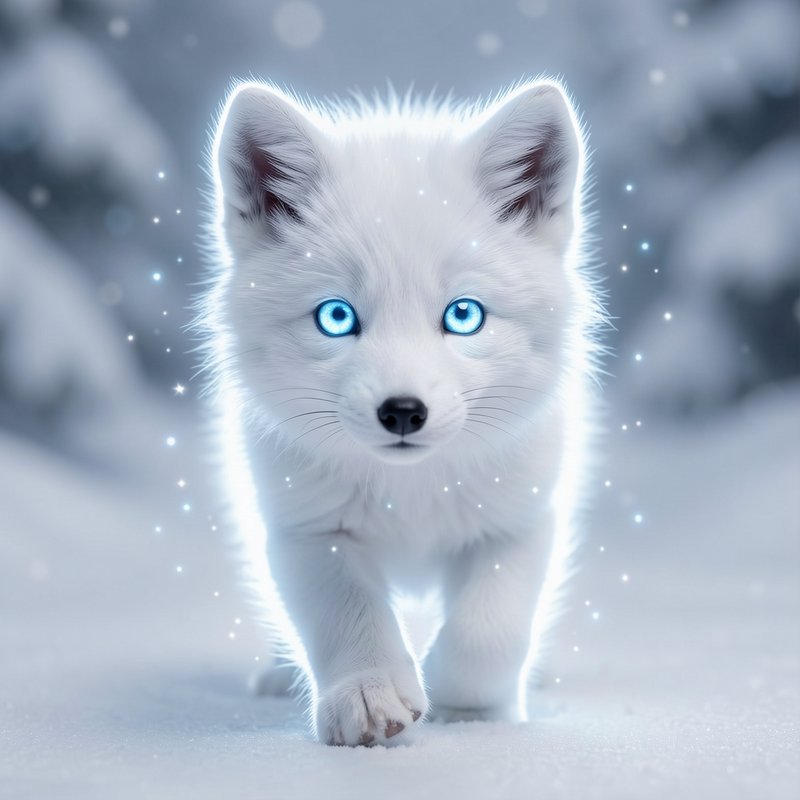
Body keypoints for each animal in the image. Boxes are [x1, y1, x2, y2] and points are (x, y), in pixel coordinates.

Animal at [200, 77, 601, 746]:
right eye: (336, 317)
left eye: (464, 315)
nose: (404, 412)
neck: (409, 492)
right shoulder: (308, 529)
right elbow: (346, 614)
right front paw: (368, 693)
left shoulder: (518, 519)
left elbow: (486, 633)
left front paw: (467, 706)